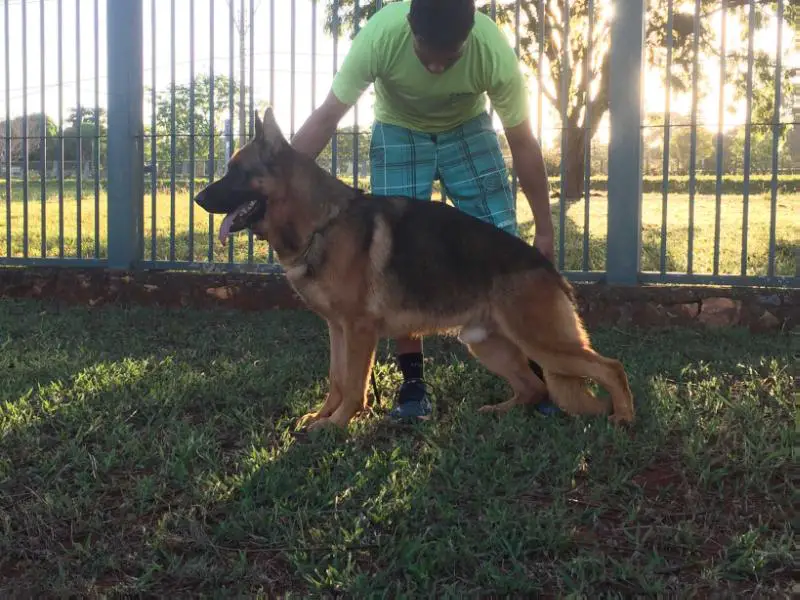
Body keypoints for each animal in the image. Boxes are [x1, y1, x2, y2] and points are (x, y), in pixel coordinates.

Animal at [194, 108, 636, 432]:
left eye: (237, 172)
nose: (198, 198)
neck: (322, 221)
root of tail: (548, 265)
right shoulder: (337, 329)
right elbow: (336, 379)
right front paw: (322, 416)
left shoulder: (359, 330)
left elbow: (352, 385)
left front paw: (337, 425)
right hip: (486, 344)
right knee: (533, 388)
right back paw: (500, 411)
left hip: (541, 342)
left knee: (610, 367)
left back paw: (624, 417)